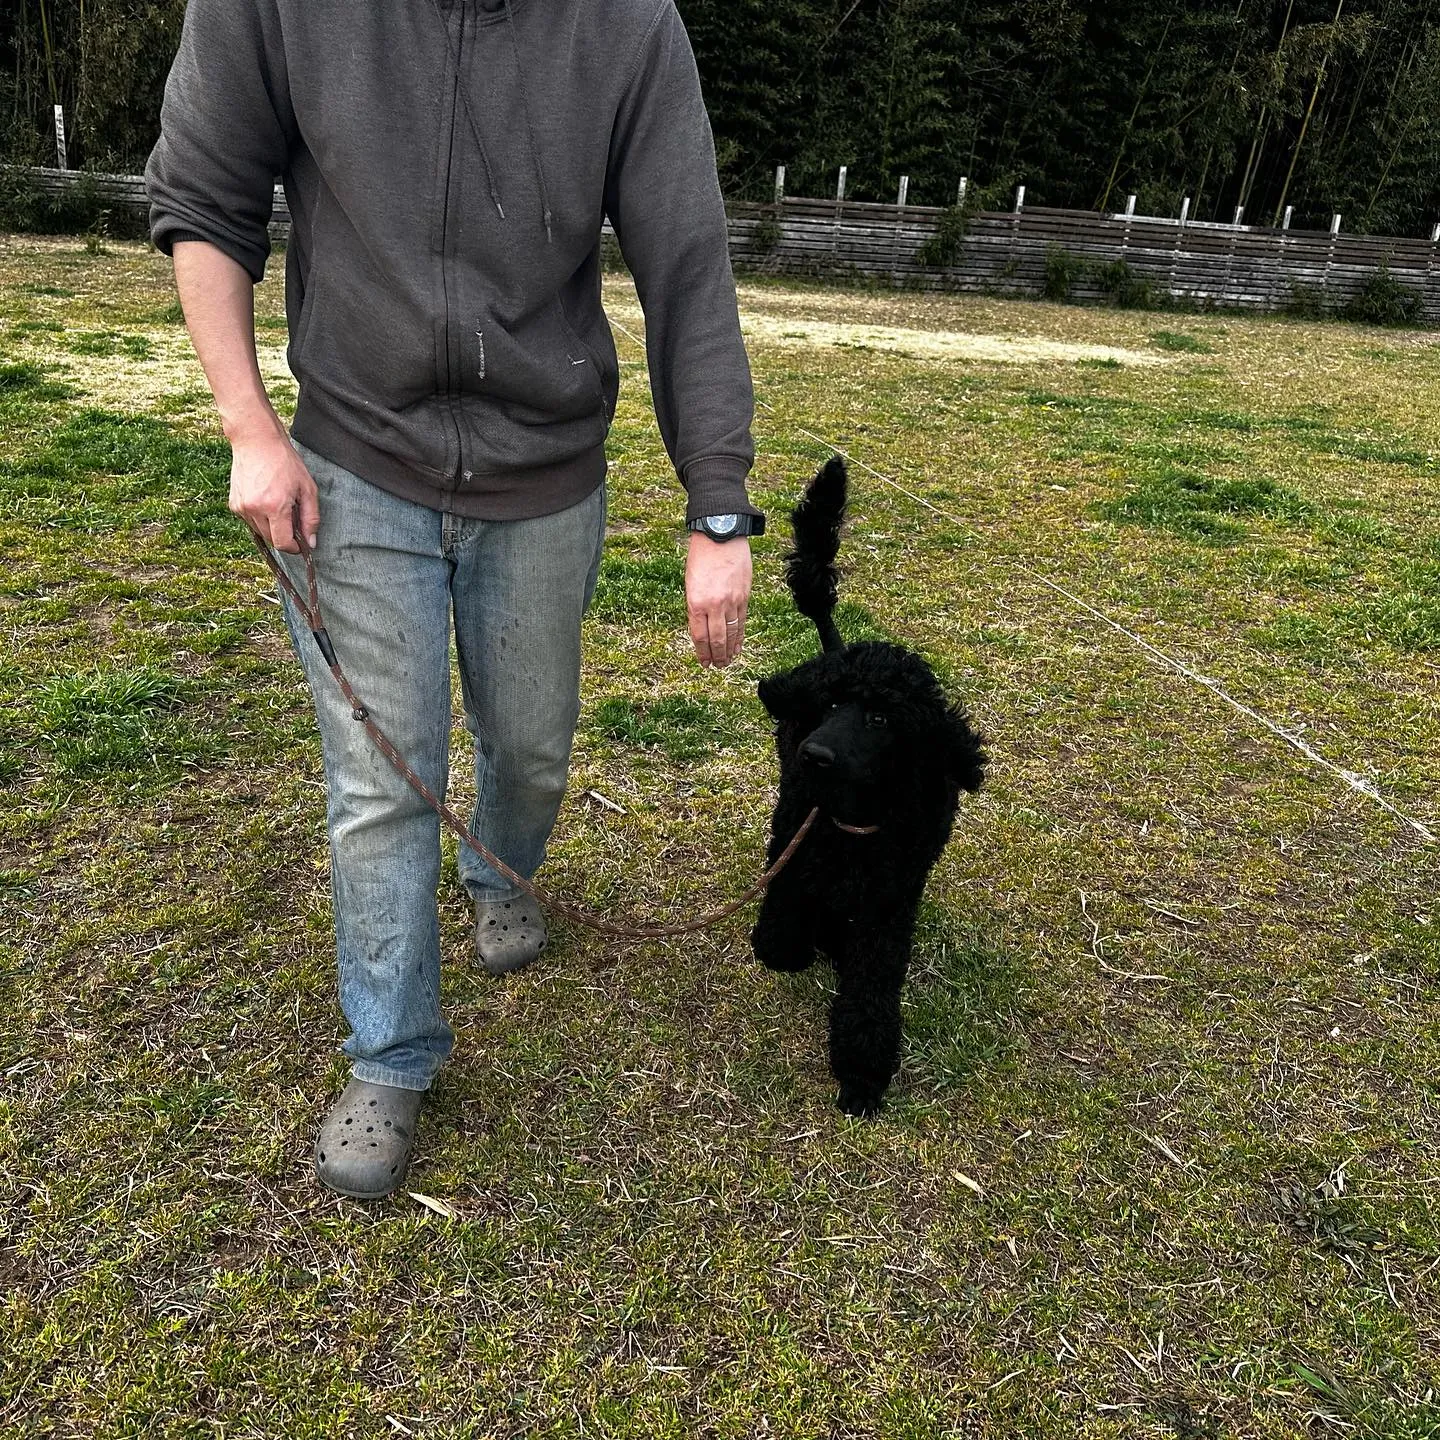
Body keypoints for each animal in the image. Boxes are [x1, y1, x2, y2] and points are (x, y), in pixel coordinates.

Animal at [754, 455, 979, 1117]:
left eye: (881, 719)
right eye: (830, 703)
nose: (815, 754)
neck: (856, 820)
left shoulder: (889, 902)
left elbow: (871, 989)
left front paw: (862, 1072)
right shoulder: (799, 843)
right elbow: (785, 916)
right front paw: (782, 947)